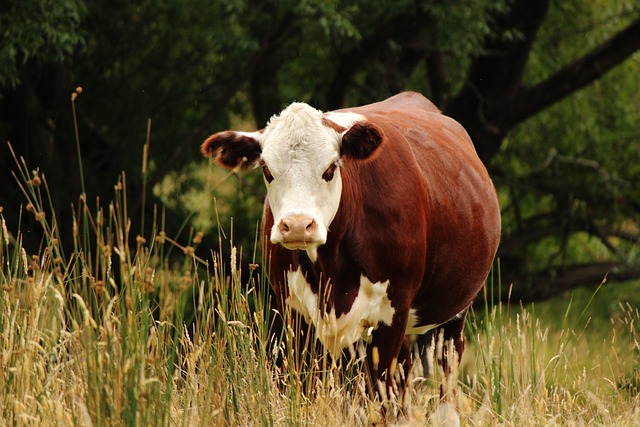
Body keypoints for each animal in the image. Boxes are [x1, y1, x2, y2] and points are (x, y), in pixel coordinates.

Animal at [202, 93, 502, 418]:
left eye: (330, 169)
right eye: (267, 170)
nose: (297, 225)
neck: (329, 269)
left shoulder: (392, 311)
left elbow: (381, 401)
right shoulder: (295, 315)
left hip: (453, 316)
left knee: (445, 378)